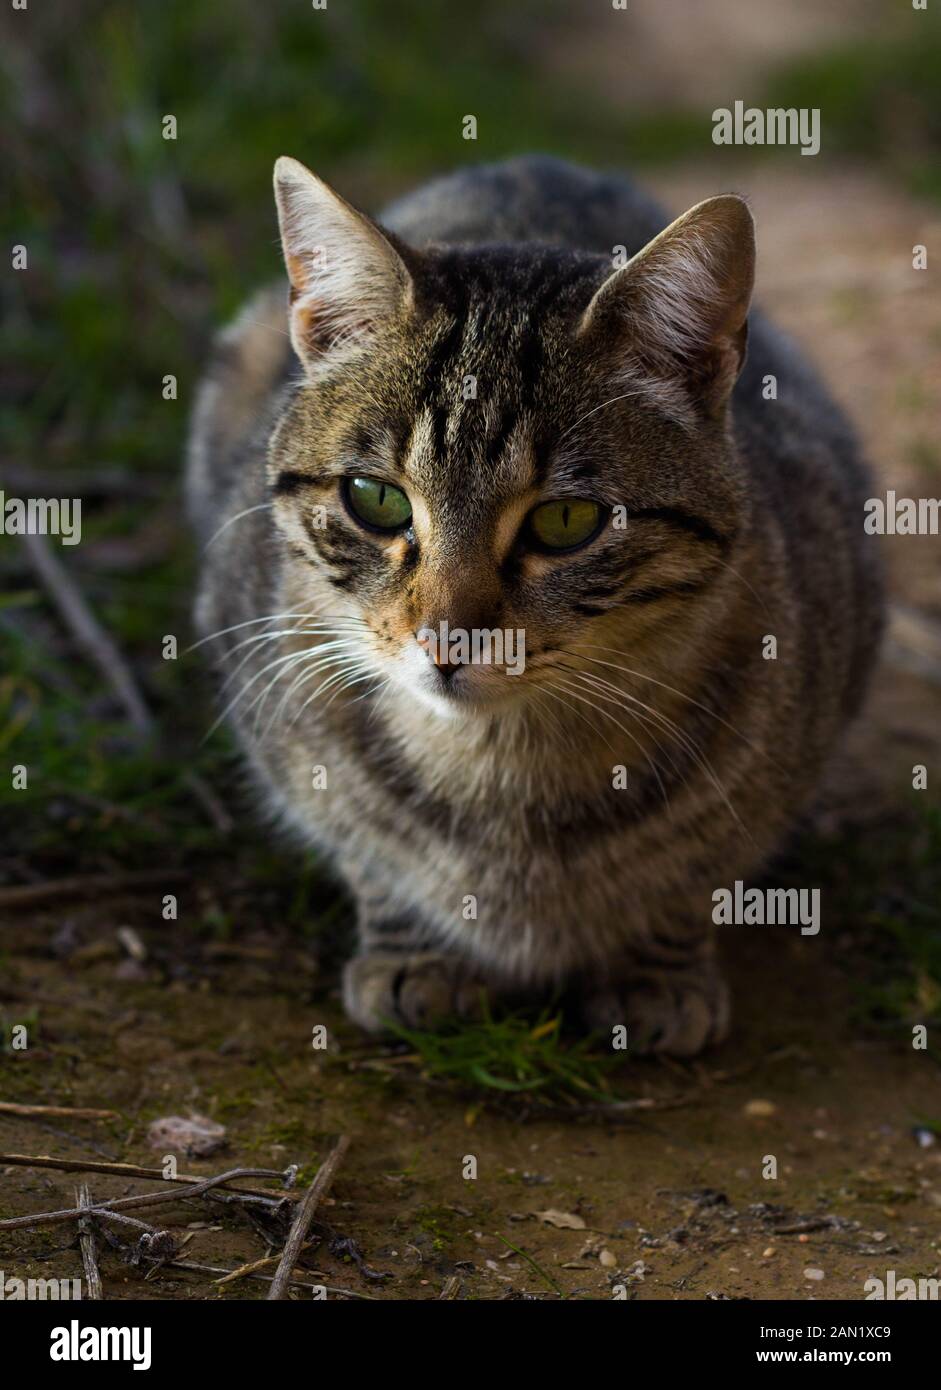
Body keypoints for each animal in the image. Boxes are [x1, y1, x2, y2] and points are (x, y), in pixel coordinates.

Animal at [189, 154, 878, 1050]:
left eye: (565, 521)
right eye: (375, 500)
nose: (445, 640)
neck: (503, 770)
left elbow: (694, 874)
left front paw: (657, 974)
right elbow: (369, 852)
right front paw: (416, 955)